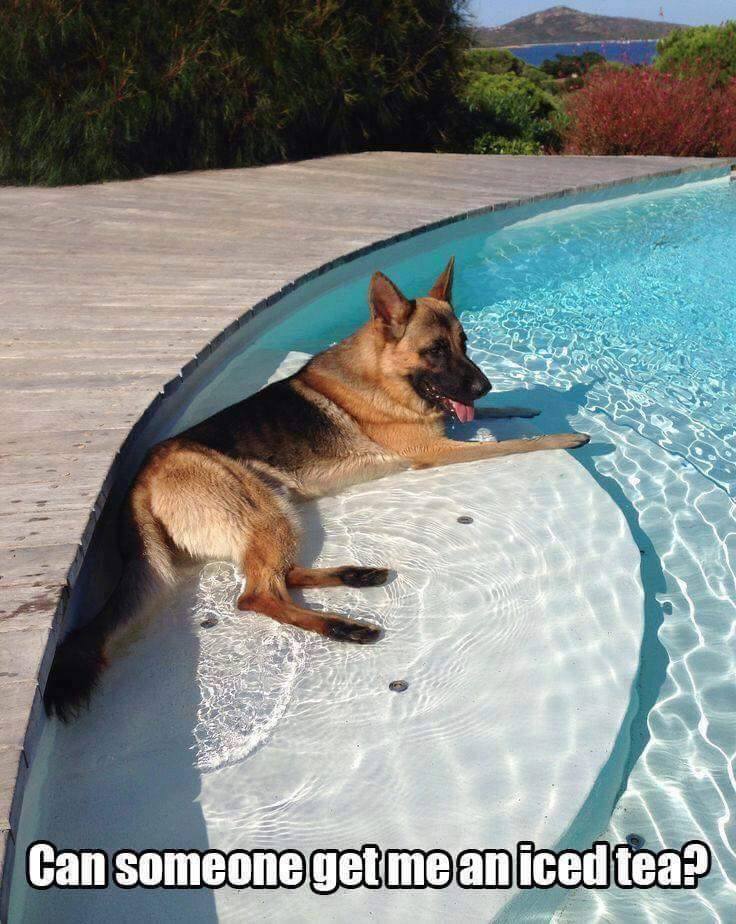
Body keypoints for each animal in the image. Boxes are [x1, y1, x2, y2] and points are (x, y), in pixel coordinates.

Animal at [44, 262, 588, 720]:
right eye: (435, 350)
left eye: (466, 342)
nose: (485, 386)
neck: (382, 375)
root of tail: (141, 478)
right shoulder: (435, 451)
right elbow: (511, 444)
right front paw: (564, 436)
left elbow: (494, 420)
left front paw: (522, 406)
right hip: (263, 511)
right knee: (255, 596)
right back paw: (344, 626)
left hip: (278, 509)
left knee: (280, 577)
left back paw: (357, 575)